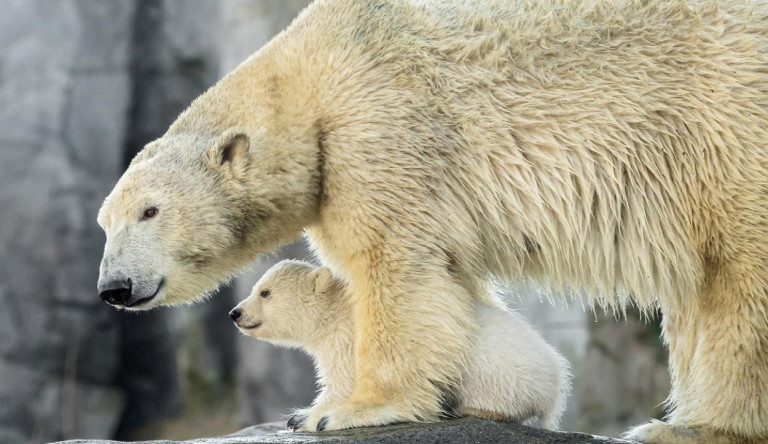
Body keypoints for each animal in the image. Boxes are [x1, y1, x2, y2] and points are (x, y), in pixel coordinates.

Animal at [96, 0, 768, 440]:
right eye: (105, 222)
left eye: (149, 210)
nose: (113, 287)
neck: (311, 74)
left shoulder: (377, 125)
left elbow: (397, 264)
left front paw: (348, 408)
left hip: (723, 119)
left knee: (738, 274)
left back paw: (693, 427)